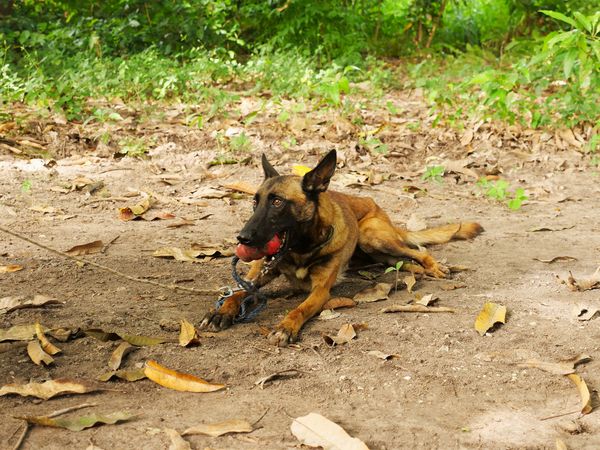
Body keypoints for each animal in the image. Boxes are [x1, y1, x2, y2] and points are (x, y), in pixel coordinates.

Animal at [200, 149, 482, 346]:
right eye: (254, 203)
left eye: (277, 202)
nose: (242, 238)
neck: (301, 249)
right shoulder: (258, 274)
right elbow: (236, 291)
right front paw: (220, 312)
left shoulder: (320, 292)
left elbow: (299, 309)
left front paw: (286, 327)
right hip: (376, 250)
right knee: (403, 261)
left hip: (372, 236)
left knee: (419, 252)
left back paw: (434, 267)